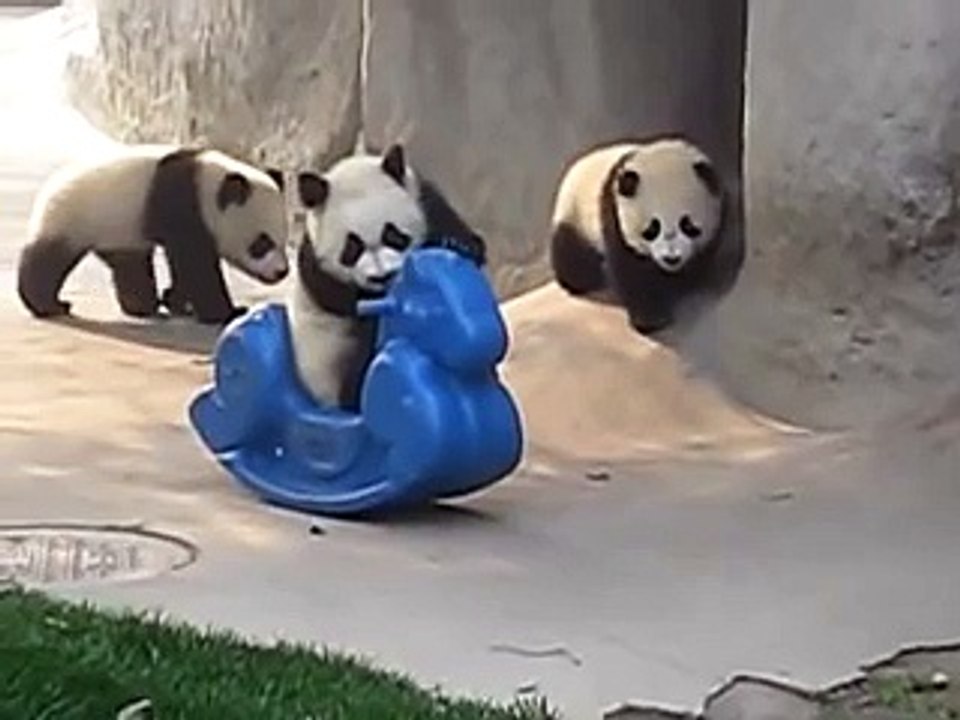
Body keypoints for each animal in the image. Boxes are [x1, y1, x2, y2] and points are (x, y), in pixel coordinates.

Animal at [17, 143, 290, 325]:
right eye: (261, 243)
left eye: (285, 240)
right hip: (72, 216)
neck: (208, 185)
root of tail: (50, 186)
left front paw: (175, 301)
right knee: (48, 260)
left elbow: (187, 265)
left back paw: (143, 305)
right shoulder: (180, 204)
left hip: (120, 231)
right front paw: (228, 312)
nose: (281, 272)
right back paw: (49, 304)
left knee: (130, 265)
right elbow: (195, 264)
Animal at [290, 143, 486, 410]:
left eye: (392, 235)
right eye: (351, 249)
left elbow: (469, 243)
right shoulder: (314, 264)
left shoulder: (427, 201)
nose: (383, 277)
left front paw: (455, 244)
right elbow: (337, 298)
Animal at [548, 136, 726, 333]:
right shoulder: (614, 216)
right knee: (571, 255)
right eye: (652, 229)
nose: (671, 258)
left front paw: (687, 281)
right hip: (575, 215)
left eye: (687, 224)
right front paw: (651, 318)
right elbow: (631, 270)